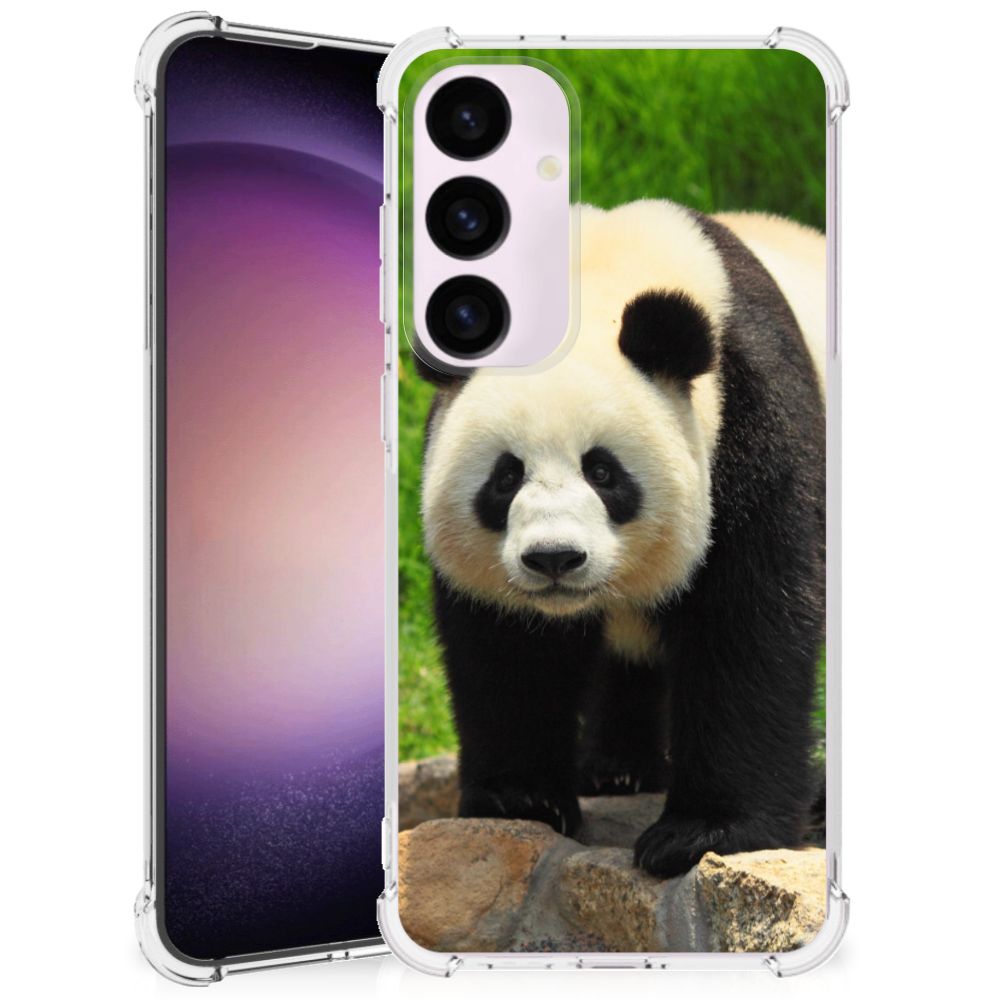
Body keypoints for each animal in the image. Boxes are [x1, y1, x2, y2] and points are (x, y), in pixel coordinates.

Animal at [416, 199, 826, 879]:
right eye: (506, 477)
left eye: (603, 472)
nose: (554, 558)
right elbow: (509, 649)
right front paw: (520, 799)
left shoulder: (754, 421)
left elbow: (750, 623)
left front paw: (702, 832)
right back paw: (616, 769)